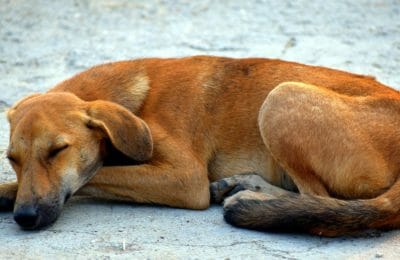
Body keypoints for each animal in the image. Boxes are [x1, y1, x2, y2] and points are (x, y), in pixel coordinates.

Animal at [0, 55, 400, 237]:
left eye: (57, 151)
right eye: (13, 158)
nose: (25, 218)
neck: (137, 101)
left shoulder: (186, 179)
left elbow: (97, 174)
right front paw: (7, 191)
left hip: (281, 97)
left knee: (318, 199)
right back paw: (248, 187)